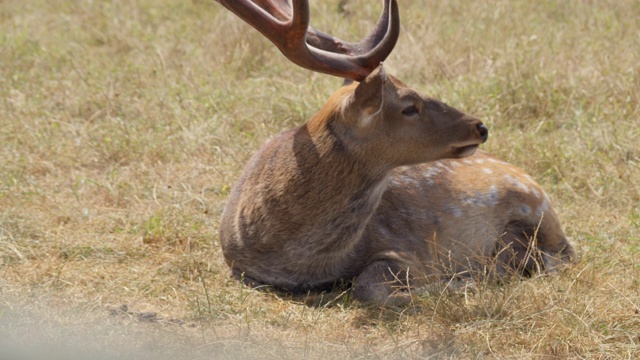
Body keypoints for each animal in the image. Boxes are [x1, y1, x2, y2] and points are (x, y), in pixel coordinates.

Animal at [215, 0, 576, 306]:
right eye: (409, 106)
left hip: (536, 212)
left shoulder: (406, 250)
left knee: (548, 258)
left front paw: (455, 283)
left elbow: (367, 286)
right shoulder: (240, 269)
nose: (480, 126)